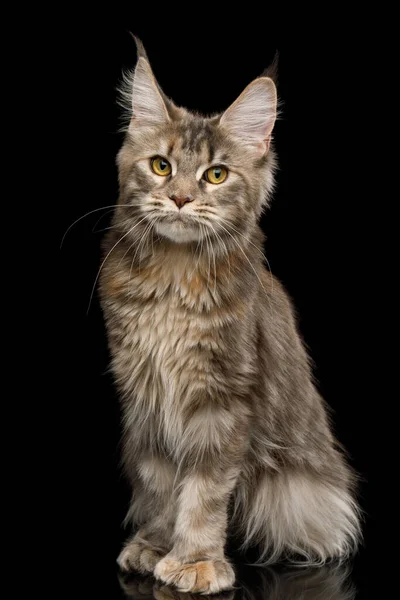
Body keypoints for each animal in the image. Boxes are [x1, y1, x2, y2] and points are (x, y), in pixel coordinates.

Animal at [99, 38, 360, 596]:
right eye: (160, 166)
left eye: (215, 175)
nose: (180, 198)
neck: (174, 280)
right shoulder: (145, 391)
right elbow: (161, 482)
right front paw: (157, 545)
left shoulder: (221, 397)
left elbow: (203, 491)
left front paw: (195, 559)